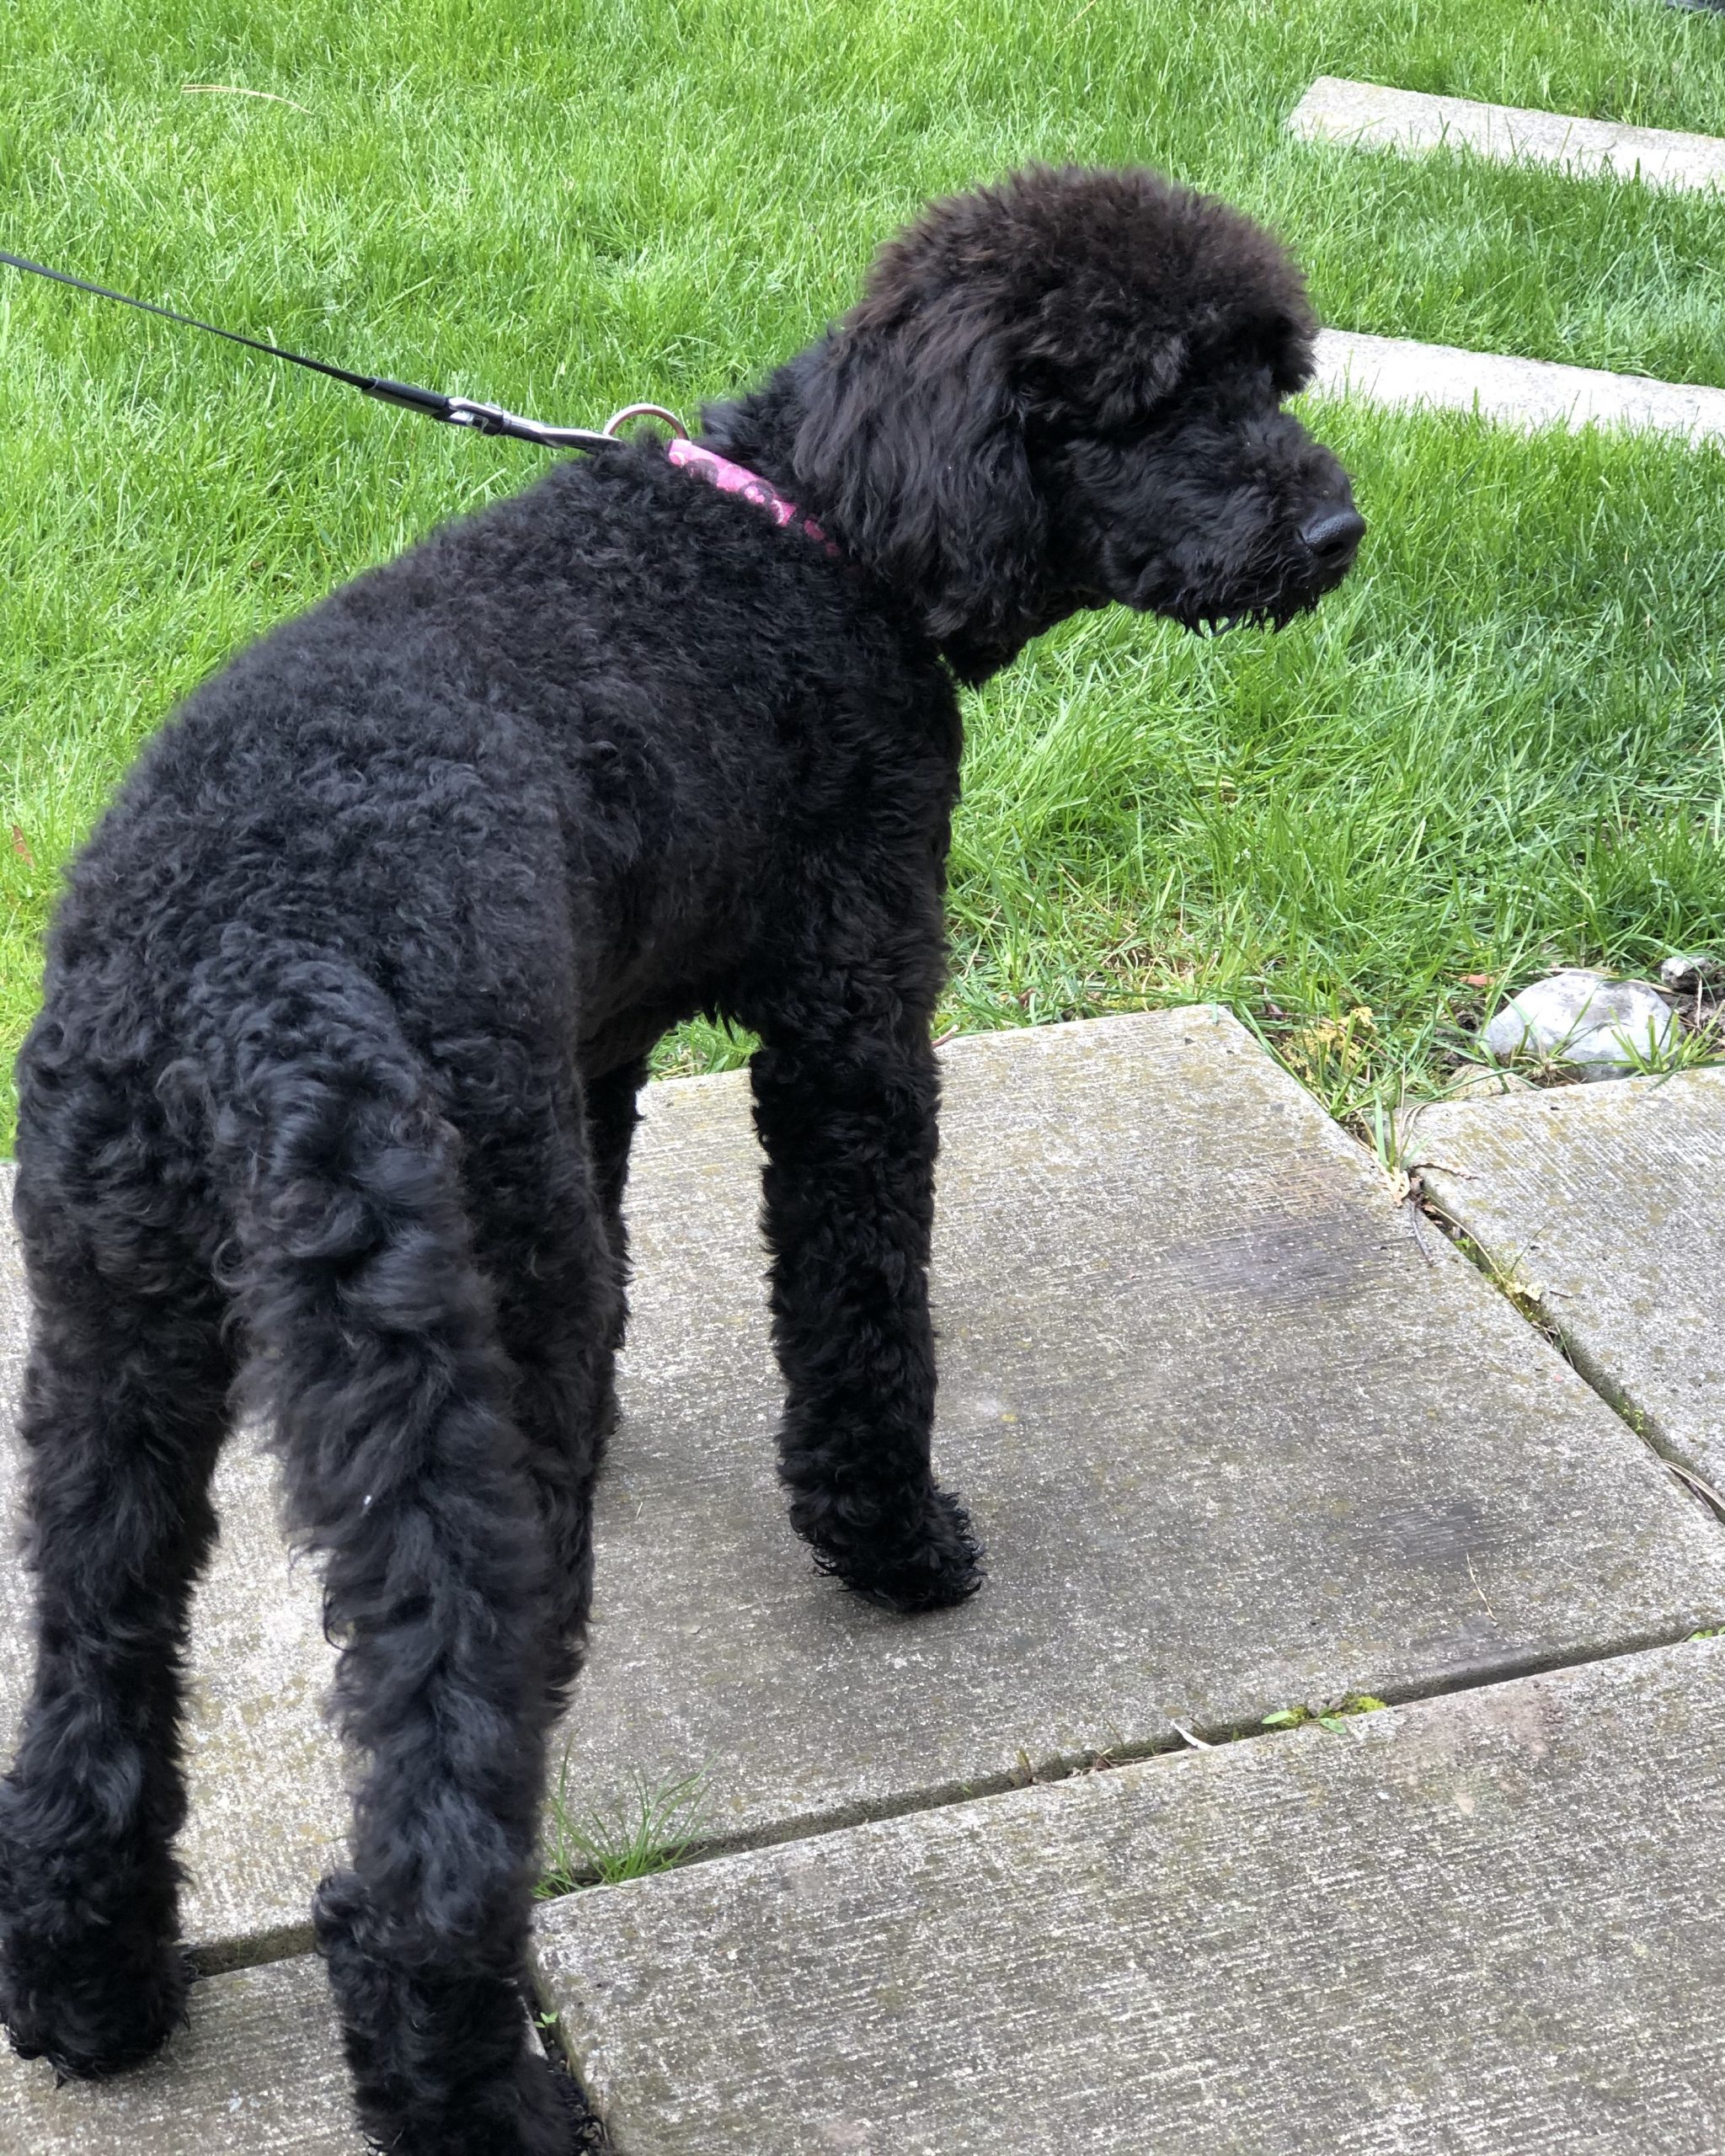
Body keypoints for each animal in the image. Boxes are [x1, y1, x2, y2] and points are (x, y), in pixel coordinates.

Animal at [0, 172, 1362, 2156]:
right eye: (1161, 397)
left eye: (1273, 374)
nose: (1338, 528)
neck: (807, 537)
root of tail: (258, 971)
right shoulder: (854, 1030)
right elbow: (865, 1316)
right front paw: (896, 1541)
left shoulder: (595, 1059)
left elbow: (640, 1234)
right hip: (458, 1359)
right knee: (421, 1839)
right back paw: (488, 2101)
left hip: (117, 1345)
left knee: (88, 1701)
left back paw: (90, 1993)